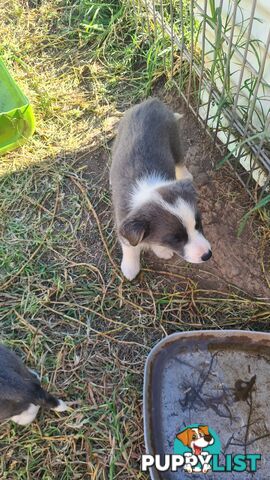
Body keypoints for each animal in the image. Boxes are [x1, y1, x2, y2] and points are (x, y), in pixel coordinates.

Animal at [109, 98, 211, 282]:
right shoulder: (123, 222)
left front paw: (161, 251)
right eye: (176, 239)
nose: (207, 255)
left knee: (179, 160)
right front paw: (130, 268)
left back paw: (185, 176)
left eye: (198, 224)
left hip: (175, 139)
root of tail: (151, 101)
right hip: (118, 140)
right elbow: (130, 247)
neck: (148, 190)